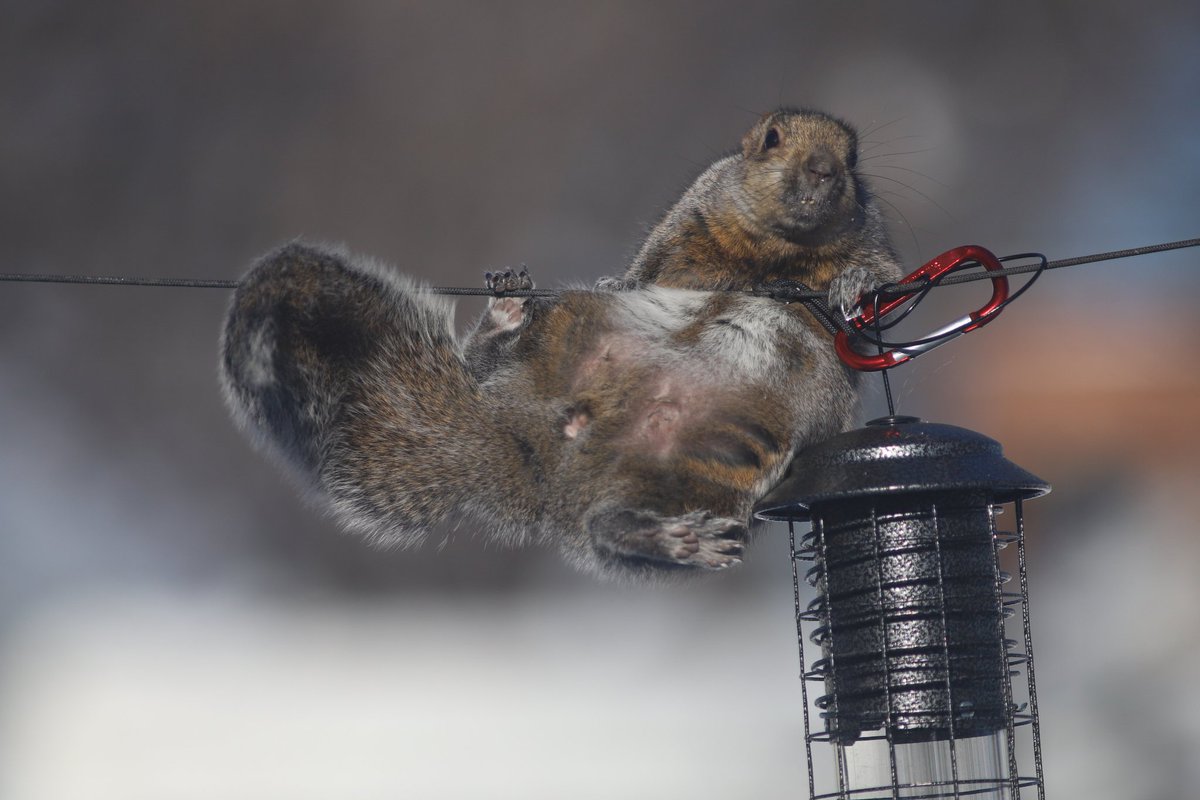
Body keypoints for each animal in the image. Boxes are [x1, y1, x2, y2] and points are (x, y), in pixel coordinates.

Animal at [219, 108, 903, 579]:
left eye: (854, 155)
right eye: (771, 139)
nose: (824, 170)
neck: (777, 256)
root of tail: (543, 459)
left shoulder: (870, 245)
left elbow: (878, 287)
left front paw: (855, 284)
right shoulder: (687, 224)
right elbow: (650, 266)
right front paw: (622, 279)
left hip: (705, 474)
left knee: (609, 524)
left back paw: (672, 539)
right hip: (568, 333)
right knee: (497, 378)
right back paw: (505, 318)